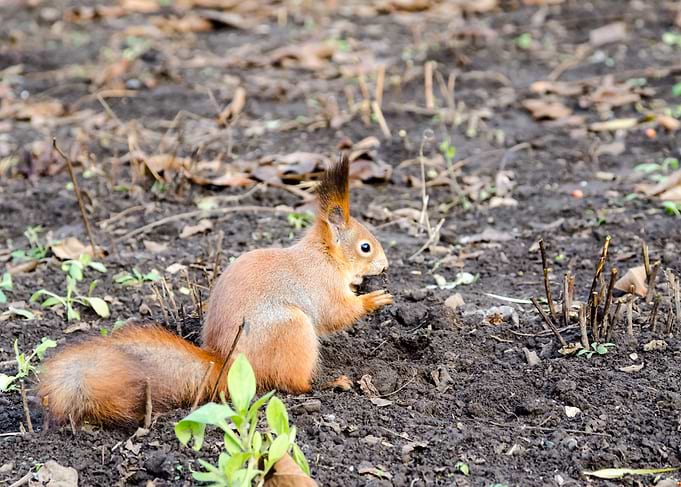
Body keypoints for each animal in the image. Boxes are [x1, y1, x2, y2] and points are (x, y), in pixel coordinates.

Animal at [37, 153, 392, 426]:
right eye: (365, 247)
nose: (386, 266)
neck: (325, 255)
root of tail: (229, 365)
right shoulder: (322, 285)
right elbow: (337, 313)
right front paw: (374, 299)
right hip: (291, 330)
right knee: (293, 384)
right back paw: (330, 383)